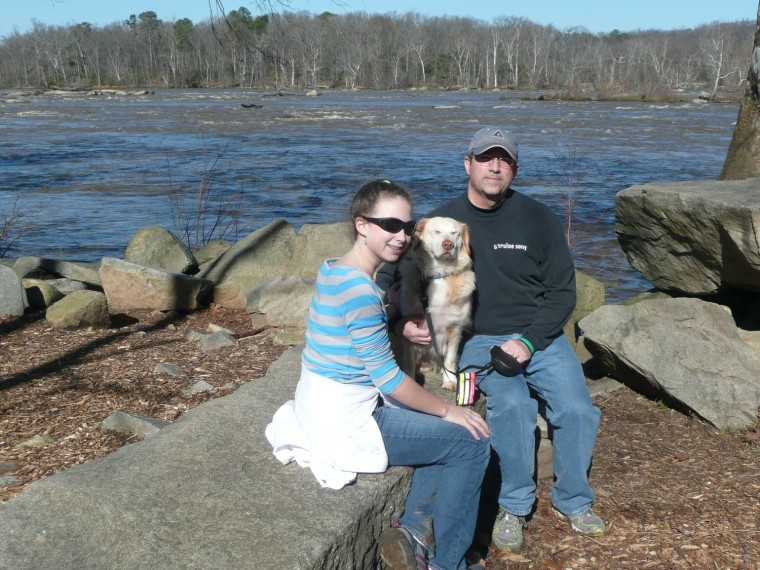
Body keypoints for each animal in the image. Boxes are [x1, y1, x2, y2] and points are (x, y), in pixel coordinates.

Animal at [398, 215, 476, 388]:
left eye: (454, 233)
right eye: (437, 231)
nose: (448, 244)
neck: (438, 274)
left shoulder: (455, 328)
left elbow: (450, 358)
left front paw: (450, 380)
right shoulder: (410, 330)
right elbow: (409, 363)